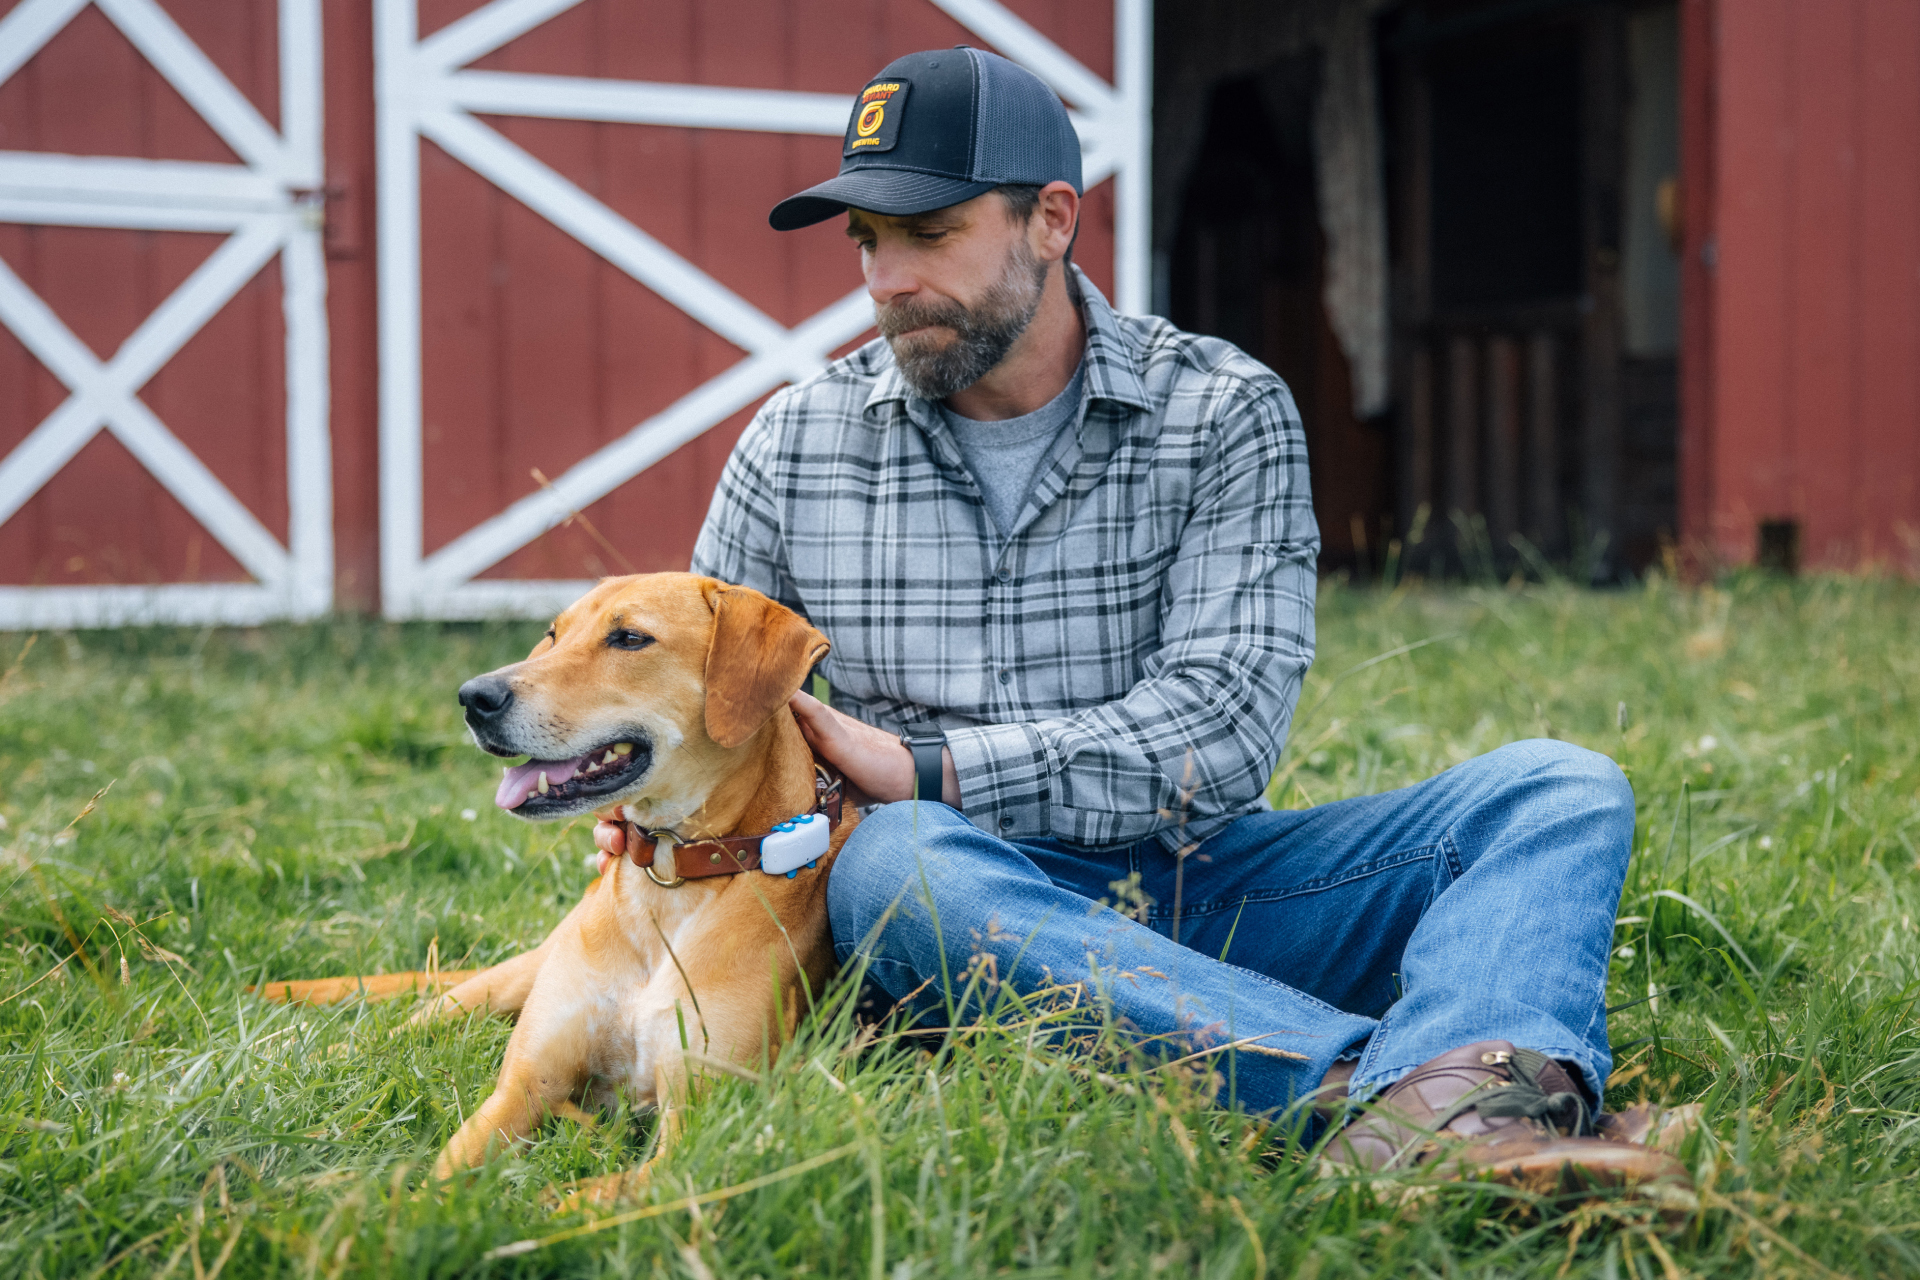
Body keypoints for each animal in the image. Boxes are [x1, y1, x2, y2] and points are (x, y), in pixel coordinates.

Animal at [259, 571, 860, 1189]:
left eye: (630, 638)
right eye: (554, 634)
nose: (474, 697)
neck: (667, 881)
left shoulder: (694, 1138)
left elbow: (582, 1197)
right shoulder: (520, 1089)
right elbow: (439, 1184)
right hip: (492, 989)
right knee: (398, 1029)